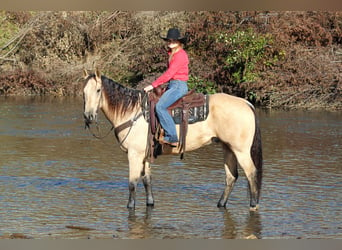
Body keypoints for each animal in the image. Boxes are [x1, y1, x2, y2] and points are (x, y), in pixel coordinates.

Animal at [83, 69, 264, 211]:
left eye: (98, 90)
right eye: (84, 92)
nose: (89, 116)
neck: (132, 111)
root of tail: (247, 103)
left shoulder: (134, 154)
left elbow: (132, 183)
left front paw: (130, 206)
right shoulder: (145, 154)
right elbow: (147, 180)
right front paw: (150, 202)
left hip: (241, 151)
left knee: (251, 173)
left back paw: (253, 205)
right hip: (228, 148)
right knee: (231, 177)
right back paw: (221, 204)